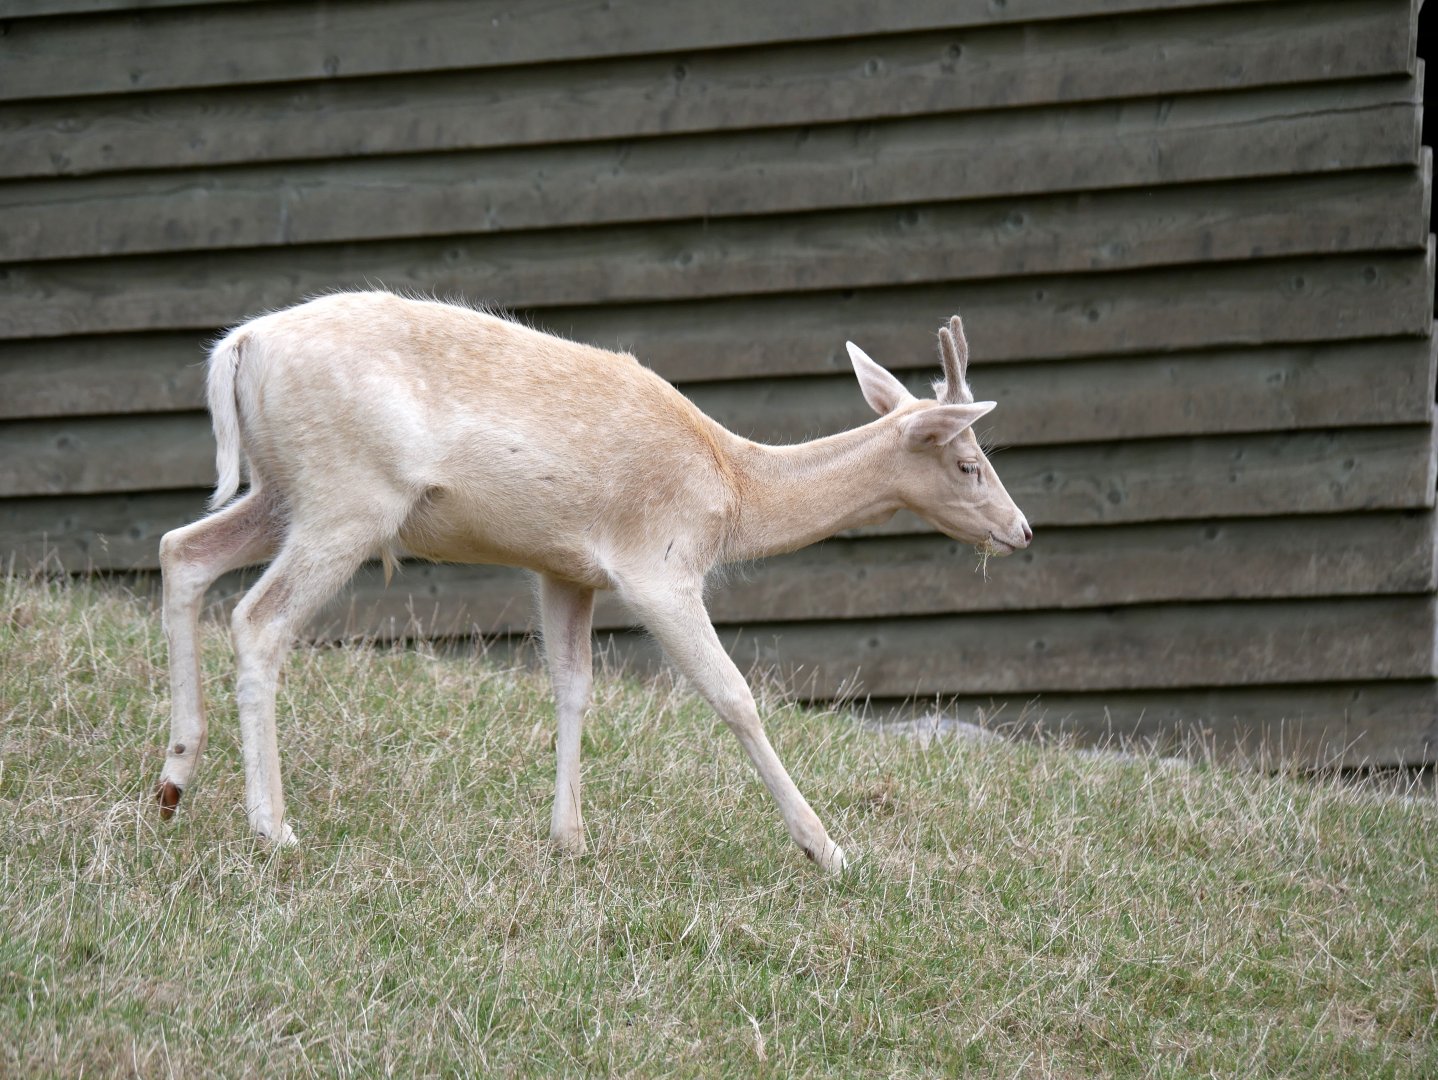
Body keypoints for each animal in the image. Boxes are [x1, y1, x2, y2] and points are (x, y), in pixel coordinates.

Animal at [154, 291, 1032, 873]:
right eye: (969, 462)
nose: (1021, 530)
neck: (734, 488)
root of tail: (240, 345)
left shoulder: (563, 567)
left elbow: (573, 688)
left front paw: (569, 838)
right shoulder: (659, 566)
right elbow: (735, 696)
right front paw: (830, 851)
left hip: (283, 491)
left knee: (181, 550)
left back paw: (171, 781)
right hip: (349, 498)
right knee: (258, 620)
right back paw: (272, 827)